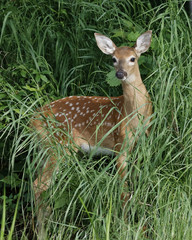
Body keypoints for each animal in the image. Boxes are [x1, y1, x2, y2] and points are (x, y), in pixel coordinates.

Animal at [31, 31, 153, 237]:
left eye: (132, 58)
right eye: (113, 59)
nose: (120, 73)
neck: (132, 113)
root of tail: (33, 119)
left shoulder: (138, 146)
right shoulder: (120, 146)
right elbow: (124, 191)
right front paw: (126, 226)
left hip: (48, 148)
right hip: (60, 145)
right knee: (38, 185)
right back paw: (43, 232)